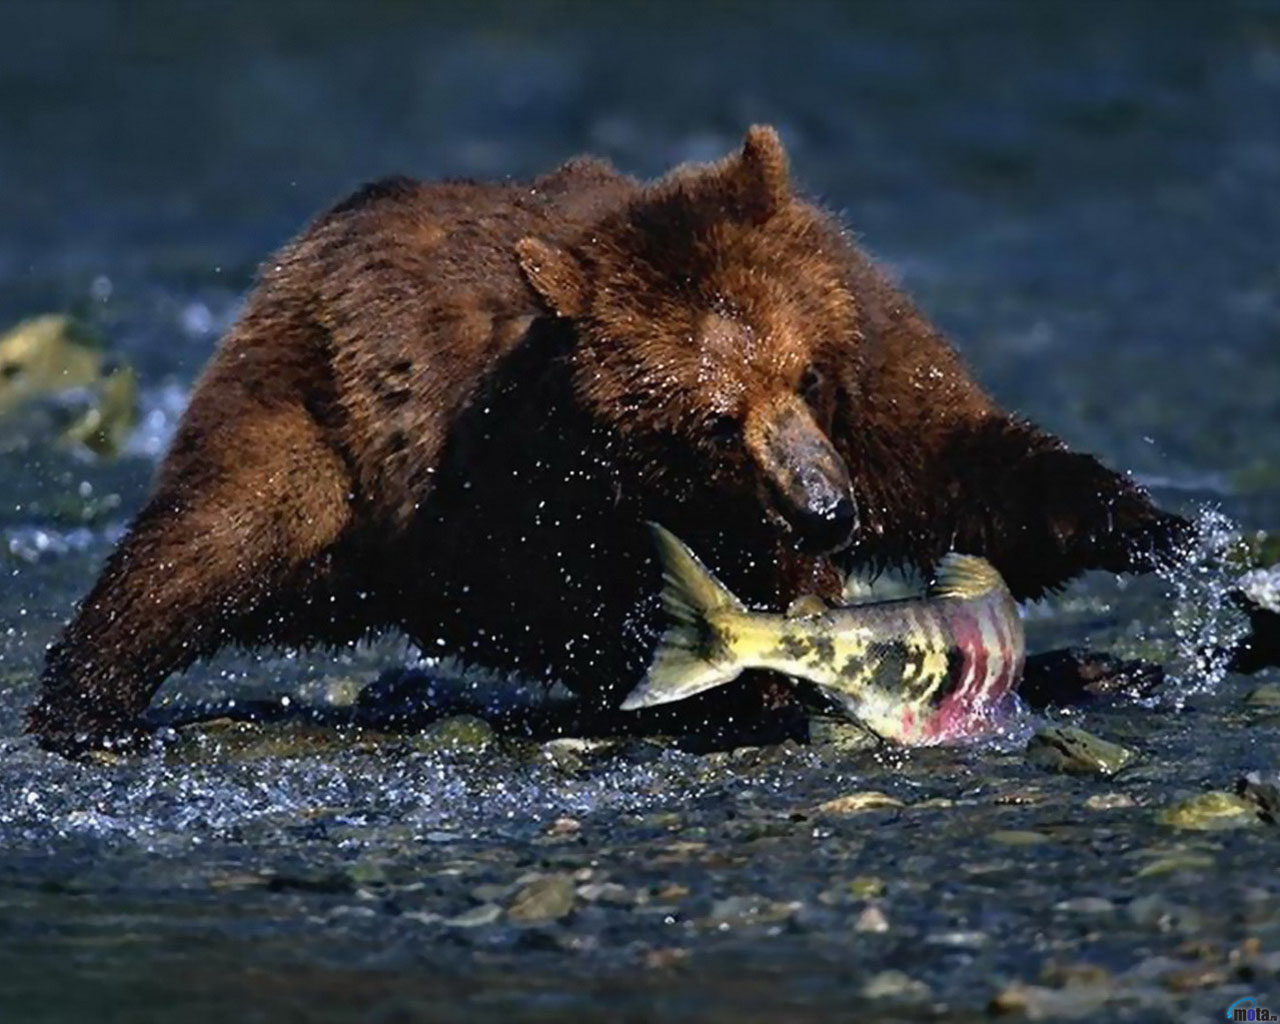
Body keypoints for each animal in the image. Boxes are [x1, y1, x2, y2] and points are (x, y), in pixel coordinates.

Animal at [27, 126, 1187, 752]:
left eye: (804, 373)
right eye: (713, 419)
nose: (826, 507)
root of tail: (306, 244)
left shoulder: (869, 368)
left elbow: (957, 459)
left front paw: (1152, 528)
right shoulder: (507, 472)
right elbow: (563, 592)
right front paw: (756, 674)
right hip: (315, 434)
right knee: (208, 540)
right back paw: (85, 703)